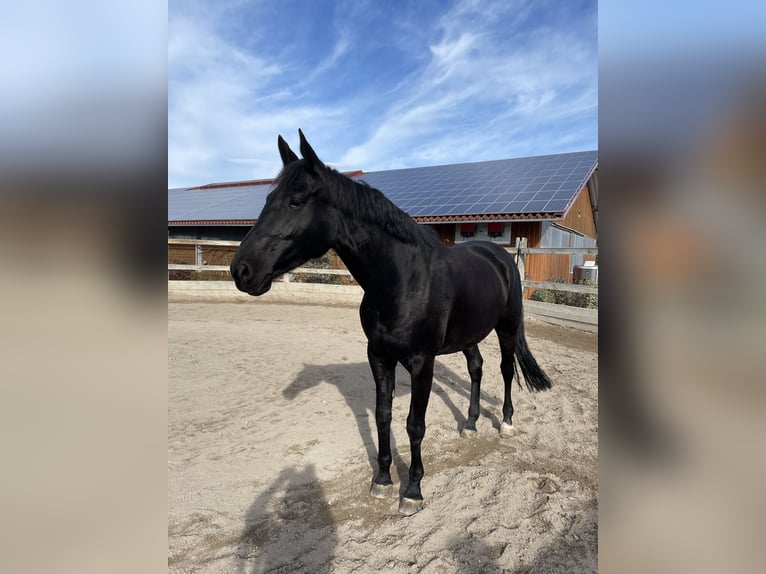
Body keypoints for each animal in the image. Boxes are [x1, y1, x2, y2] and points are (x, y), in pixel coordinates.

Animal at [231, 130, 553, 515]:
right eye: (268, 198)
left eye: (296, 201)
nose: (241, 270)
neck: (402, 279)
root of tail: (501, 256)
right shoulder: (379, 357)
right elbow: (382, 416)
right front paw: (382, 481)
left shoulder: (421, 363)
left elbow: (415, 424)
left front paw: (412, 490)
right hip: (468, 336)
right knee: (476, 368)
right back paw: (470, 424)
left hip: (506, 328)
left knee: (505, 370)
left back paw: (505, 422)